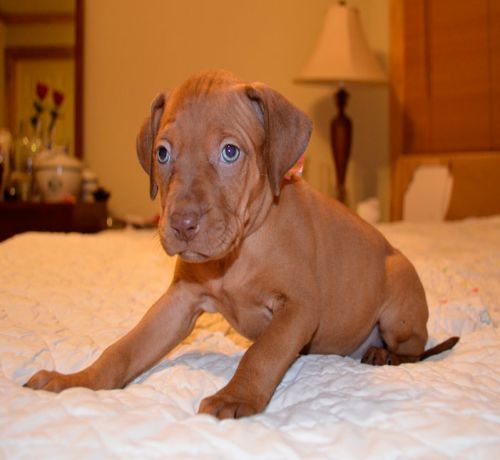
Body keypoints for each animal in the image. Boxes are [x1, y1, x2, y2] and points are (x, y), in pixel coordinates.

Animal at [26, 70, 458, 418]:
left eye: (229, 151)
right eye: (162, 153)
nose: (181, 224)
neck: (237, 254)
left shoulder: (299, 308)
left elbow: (260, 354)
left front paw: (235, 398)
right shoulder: (179, 302)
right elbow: (124, 348)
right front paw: (77, 381)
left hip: (398, 301)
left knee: (416, 349)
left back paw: (385, 354)